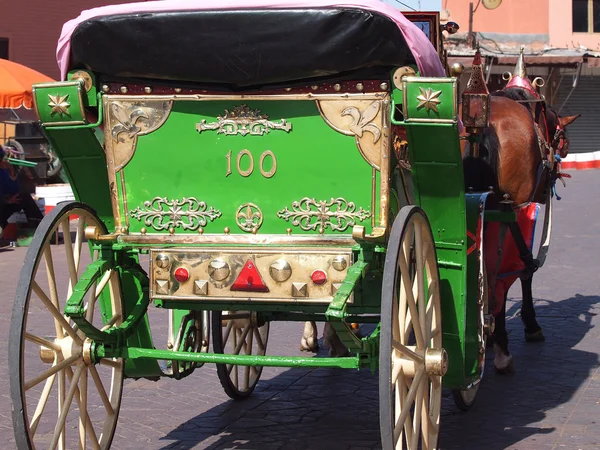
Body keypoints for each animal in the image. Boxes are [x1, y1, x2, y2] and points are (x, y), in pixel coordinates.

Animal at [462, 87, 580, 372]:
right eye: (562, 140)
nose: (558, 166)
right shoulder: (520, 208)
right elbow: (524, 268)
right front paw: (530, 324)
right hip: (509, 207)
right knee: (498, 269)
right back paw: (502, 346)